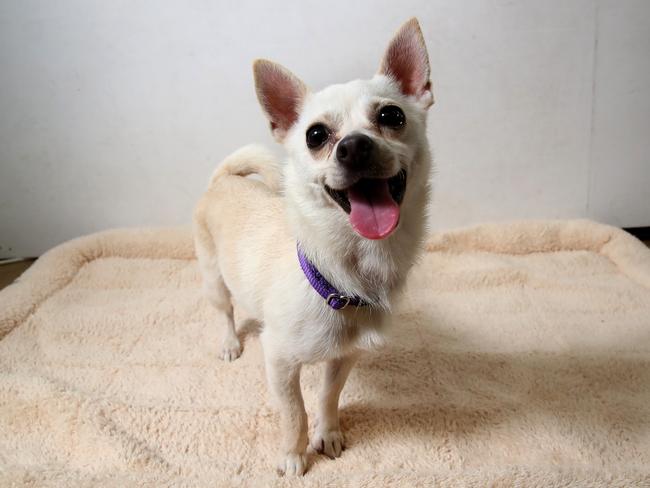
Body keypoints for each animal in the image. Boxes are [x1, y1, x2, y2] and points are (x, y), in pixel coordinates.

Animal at [192, 18, 430, 472]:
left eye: (391, 115)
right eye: (316, 136)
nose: (354, 145)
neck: (347, 268)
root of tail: (224, 178)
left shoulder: (345, 357)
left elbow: (326, 397)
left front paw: (329, 434)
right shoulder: (280, 363)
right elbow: (294, 412)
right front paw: (293, 455)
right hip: (212, 279)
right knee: (226, 311)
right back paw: (230, 342)